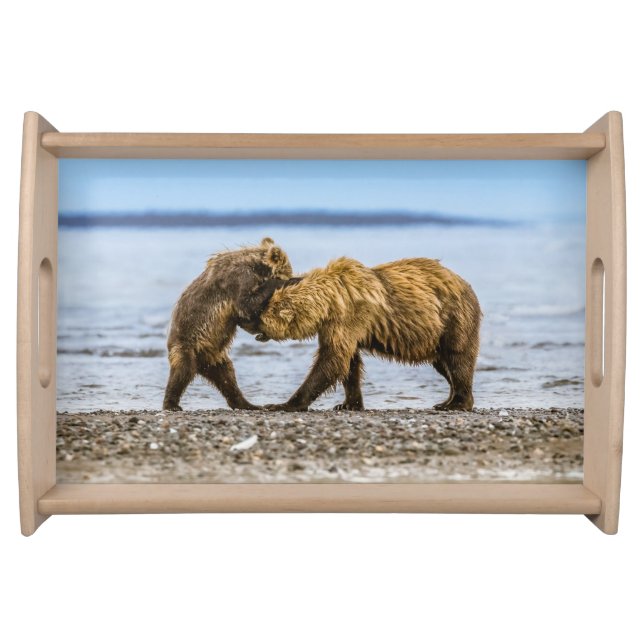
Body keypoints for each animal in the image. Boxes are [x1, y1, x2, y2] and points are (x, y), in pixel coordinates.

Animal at [162, 237, 293, 411]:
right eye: (289, 271)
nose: (292, 275)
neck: (257, 267)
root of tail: (201, 364)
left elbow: (246, 315)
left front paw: (262, 333)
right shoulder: (239, 279)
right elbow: (246, 304)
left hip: (215, 356)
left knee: (227, 377)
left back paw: (248, 404)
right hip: (186, 344)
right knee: (183, 371)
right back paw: (171, 404)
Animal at [239, 256, 481, 412]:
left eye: (256, 312)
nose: (241, 321)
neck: (328, 301)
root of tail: (466, 284)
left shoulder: (350, 316)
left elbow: (332, 360)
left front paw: (283, 404)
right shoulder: (336, 325)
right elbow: (349, 362)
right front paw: (348, 404)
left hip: (453, 319)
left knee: (458, 359)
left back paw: (458, 403)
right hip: (436, 336)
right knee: (443, 364)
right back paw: (447, 401)